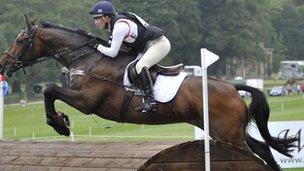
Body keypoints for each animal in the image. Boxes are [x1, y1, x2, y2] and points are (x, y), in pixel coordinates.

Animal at [0, 15, 296, 170]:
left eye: (21, 40)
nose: (4, 64)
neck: (86, 58)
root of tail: (232, 86)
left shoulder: (87, 101)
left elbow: (50, 90)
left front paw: (59, 123)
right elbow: (51, 91)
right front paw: (60, 122)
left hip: (227, 133)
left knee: (254, 152)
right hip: (224, 131)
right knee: (262, 148)